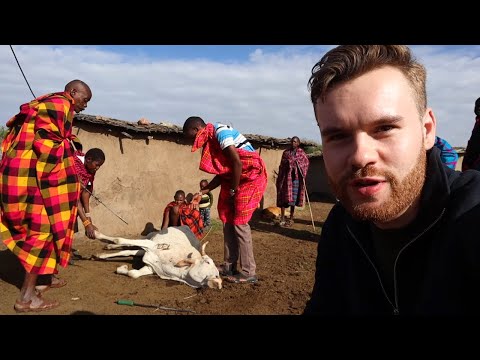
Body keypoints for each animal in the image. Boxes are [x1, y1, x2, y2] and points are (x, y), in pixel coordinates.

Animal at [94, 225, 223, 290]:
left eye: (217, 275)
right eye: (207, 262)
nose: (217, 282)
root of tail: (186, 227)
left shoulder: (152, 267)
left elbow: (133, 274)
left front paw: (122, 268)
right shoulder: (151, 244)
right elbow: (119, 239)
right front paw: (97, 234)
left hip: (144, 248)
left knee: (129, 251)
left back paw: (101, 253)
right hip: (149, 236)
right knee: (129, 244)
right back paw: (106, 244)